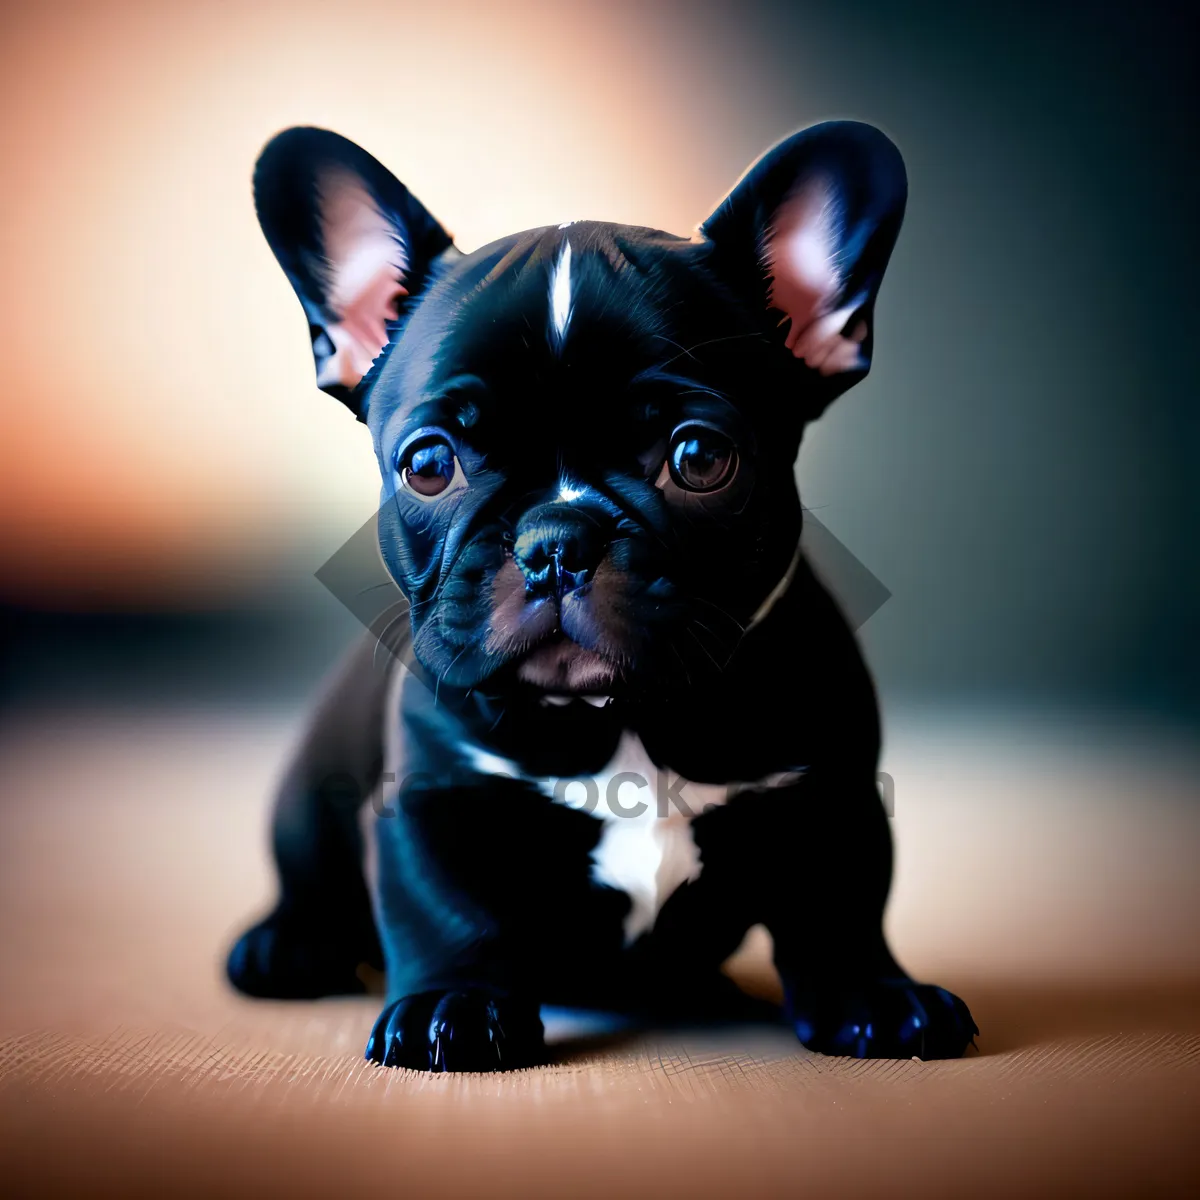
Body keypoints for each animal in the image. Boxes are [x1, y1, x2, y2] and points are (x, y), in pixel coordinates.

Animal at [225, 121, 974, 1070]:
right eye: (428, 464)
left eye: (699, 458)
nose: (556, 541)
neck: (623, 717)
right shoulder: (437, 797)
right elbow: (447, 909)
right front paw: (453, 1005)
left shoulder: (832, 792)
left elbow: (841, 902)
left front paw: (874, 994)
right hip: (306, 803)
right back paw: (286, 945)